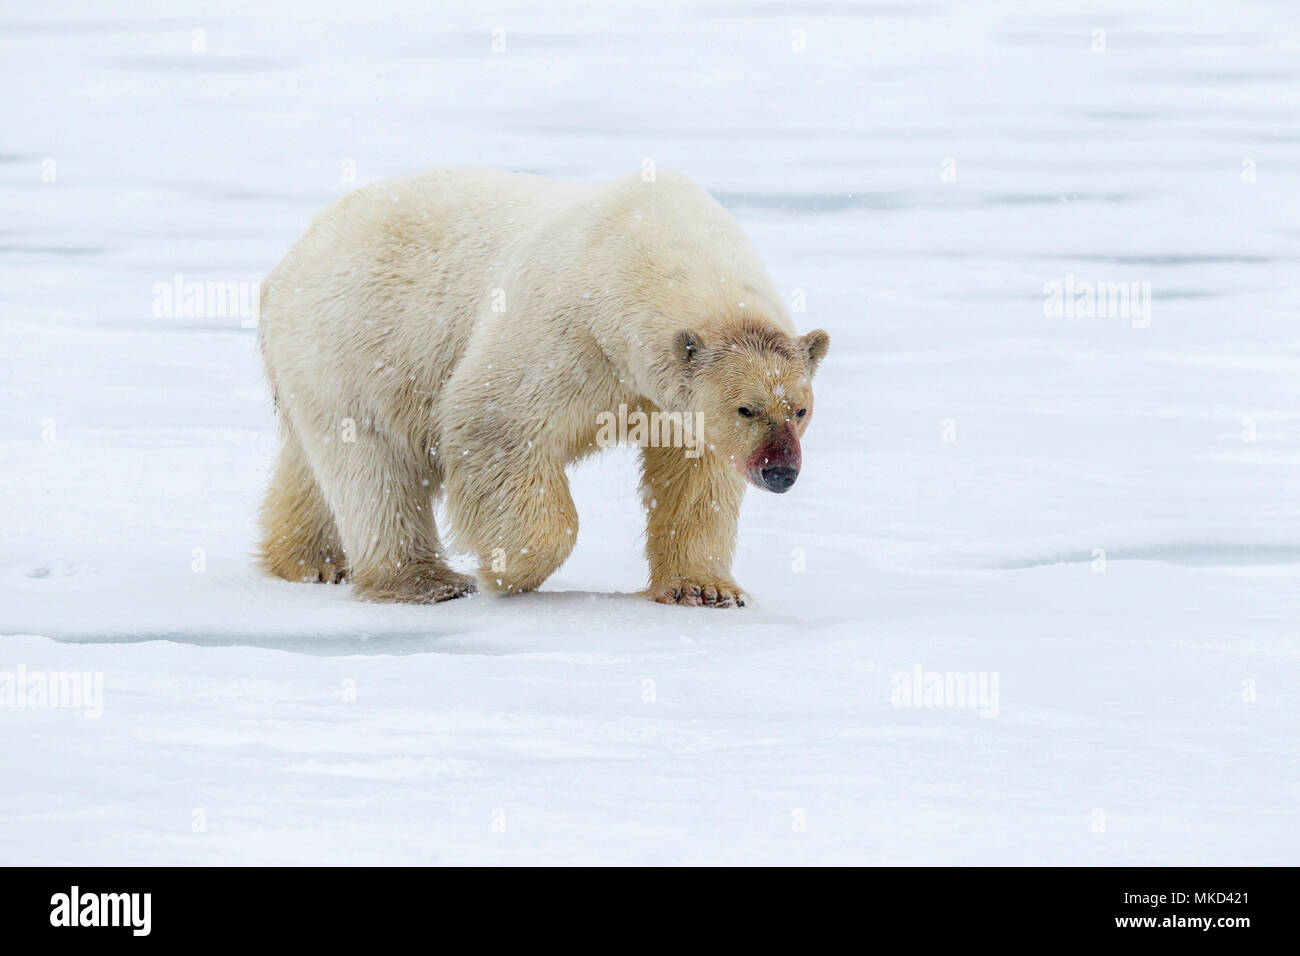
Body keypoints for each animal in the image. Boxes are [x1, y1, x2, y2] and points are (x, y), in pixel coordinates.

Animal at [256, 168, 829, 607]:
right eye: (746, 409)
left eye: (799, 410)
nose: (781, 472)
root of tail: (292, 255)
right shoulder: (567, 331)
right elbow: (494, 421)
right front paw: (506, 571)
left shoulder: (661, 395)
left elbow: (692, 477)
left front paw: (705, 589)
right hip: (354, 346)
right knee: (374, 467)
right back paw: (425, 582)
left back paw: (310, 562)